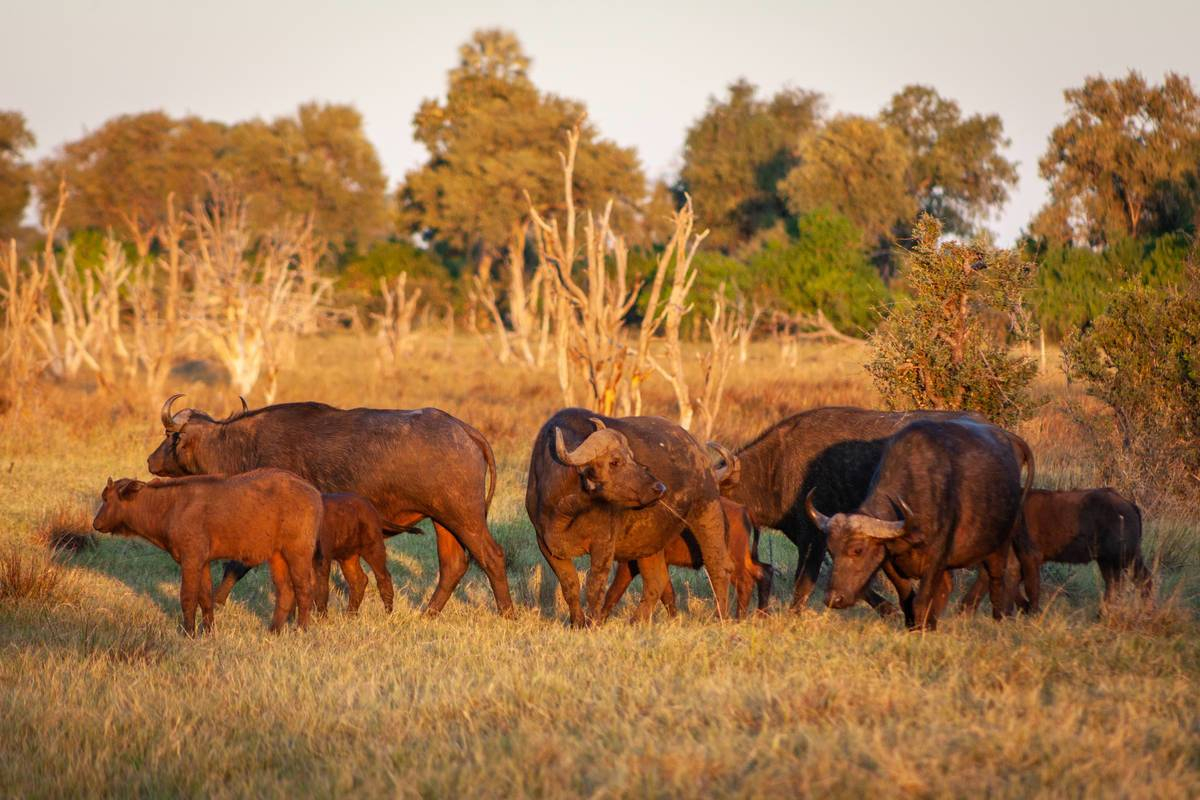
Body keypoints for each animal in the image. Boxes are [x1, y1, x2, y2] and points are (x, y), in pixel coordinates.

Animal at [92, 469, 322, 634]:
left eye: (107, 499)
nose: (96, 524)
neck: (170, 506)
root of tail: (314, 493)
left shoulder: (190, 560)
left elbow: (187, 597)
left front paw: (189, 633)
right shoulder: (203, 562)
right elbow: (205, 598)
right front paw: (208, 631)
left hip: (298, 554)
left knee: (304, 589)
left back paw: (302, 630)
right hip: (277, 557)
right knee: (285, 591)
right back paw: (273, 630)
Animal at [148, 395, 513, 616]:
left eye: (169, 436)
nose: (151, 461)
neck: (242, 446)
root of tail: (464, 430)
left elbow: (237, 565)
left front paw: (217, 603)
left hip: (465, 516)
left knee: (492, 557)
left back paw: (506, 612)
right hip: (442, 520)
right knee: (453, 565)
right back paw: (427, 614)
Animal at [525, 409, 732, 626]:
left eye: (632, 457)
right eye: (615, 461)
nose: (659, 488)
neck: (566, 510)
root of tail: (698, 451)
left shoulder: (603, 544)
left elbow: (594, 587)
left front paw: (592, 623)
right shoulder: (546, 544)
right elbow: (570, 585)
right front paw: (577, 623)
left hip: (708, 512)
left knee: (718, 566)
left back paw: (720, 617)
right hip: (649, 539)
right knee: (656, 580)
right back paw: (637, 620)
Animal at [807, 419, 1033, 630]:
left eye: (858, 550)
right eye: (831, 551)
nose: (833, 599)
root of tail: (1011, 439)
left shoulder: (936, 559)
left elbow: (921, 601)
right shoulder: (890, 560)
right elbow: (907, 599)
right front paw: (915, 626)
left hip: (1002, 541)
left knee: (999, 577)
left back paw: (1000, 616)